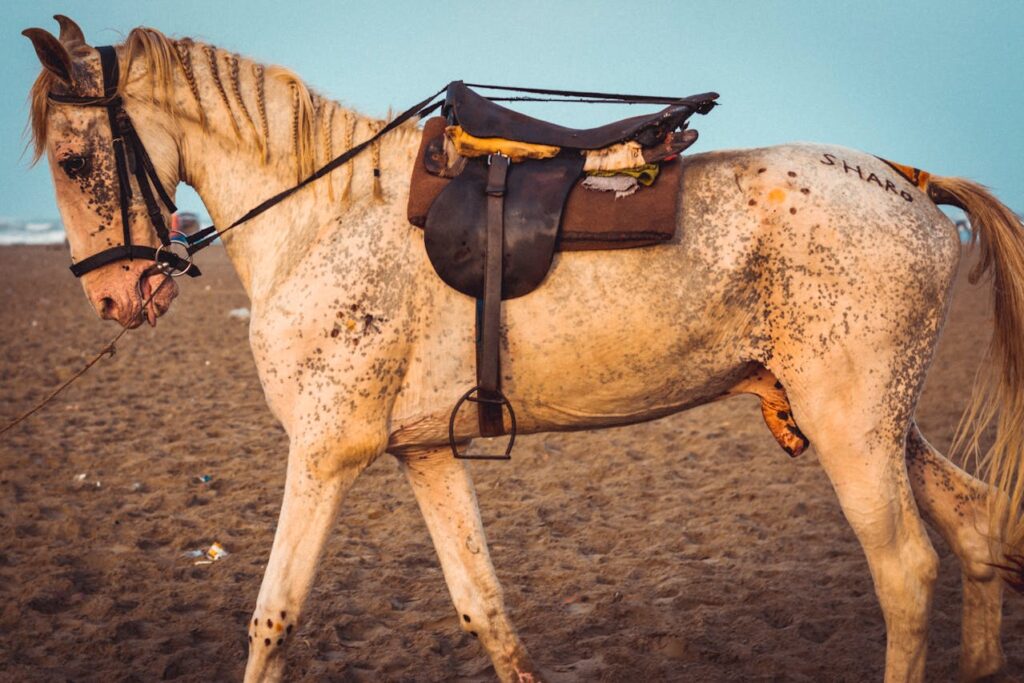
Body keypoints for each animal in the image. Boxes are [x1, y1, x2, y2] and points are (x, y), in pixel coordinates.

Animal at [22, 17, 1024, 682]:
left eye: (73, 160)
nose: (115, 296)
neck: (323, 215)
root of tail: (906, 181)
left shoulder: (324, 449)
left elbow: (275, 615)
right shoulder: (425, 452)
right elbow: (485, 607)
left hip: (851, 425)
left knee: (905, 573)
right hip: (873, 420)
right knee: (973, 519)